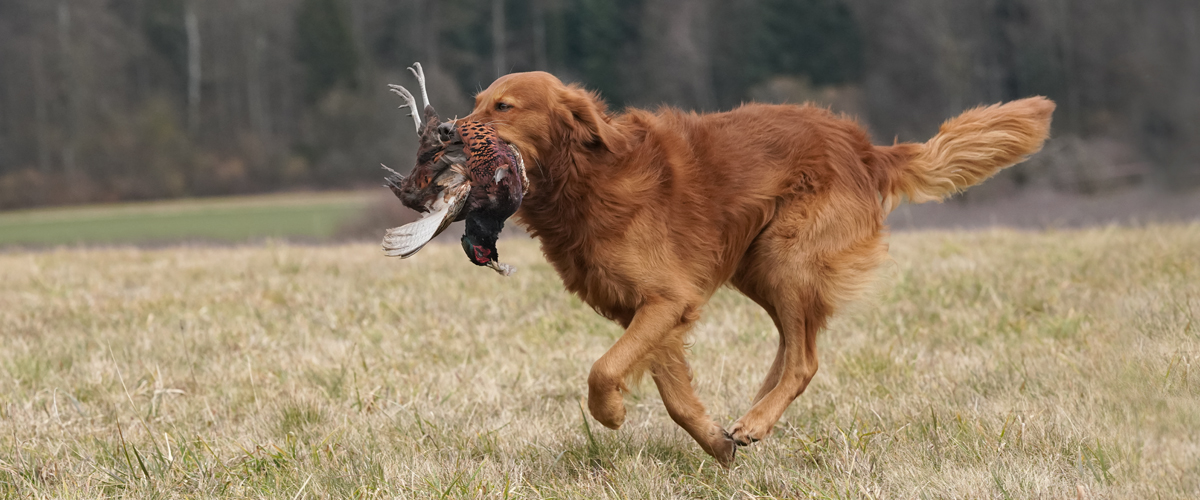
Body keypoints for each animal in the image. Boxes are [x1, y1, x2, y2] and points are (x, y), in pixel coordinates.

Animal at [463, 71, 1056, 462]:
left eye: (504, 107)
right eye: (477, 103)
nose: (447, 131)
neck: (586, 177)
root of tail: (869, 151)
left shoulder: (667, 300)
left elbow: (604, 368)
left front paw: (610, 414)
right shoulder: (654, 313)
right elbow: (675, 397)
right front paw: (715, 445)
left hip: (787, 259)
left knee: (804, 359)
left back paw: (755, 420)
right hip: (760, 264)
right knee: (792, 349)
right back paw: (751, 417)